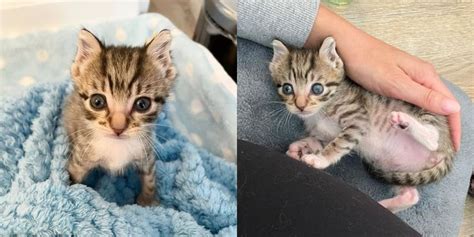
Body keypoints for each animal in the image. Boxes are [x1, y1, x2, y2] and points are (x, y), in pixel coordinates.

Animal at [62, 27, 174, 206]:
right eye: (97, 102)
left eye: (142, 104)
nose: (118, 128)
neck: (116, 146)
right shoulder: (80, 157)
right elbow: (72, 179)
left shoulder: (146, 153)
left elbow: (150, 179)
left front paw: (148, 202)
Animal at [268, 37, 454, 213]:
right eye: (287, 89)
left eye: (317, 88)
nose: (300, 106)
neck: (321, 112)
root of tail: (450, 148)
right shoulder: (325, 134)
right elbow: (319, 142)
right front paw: (300, 148)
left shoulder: (357, 119)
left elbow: (338, 144)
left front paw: (319, 158)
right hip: (394, 167)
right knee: (411, 195)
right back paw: (383, 207)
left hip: (427, 113)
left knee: (433, 138)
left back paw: (404, 120)